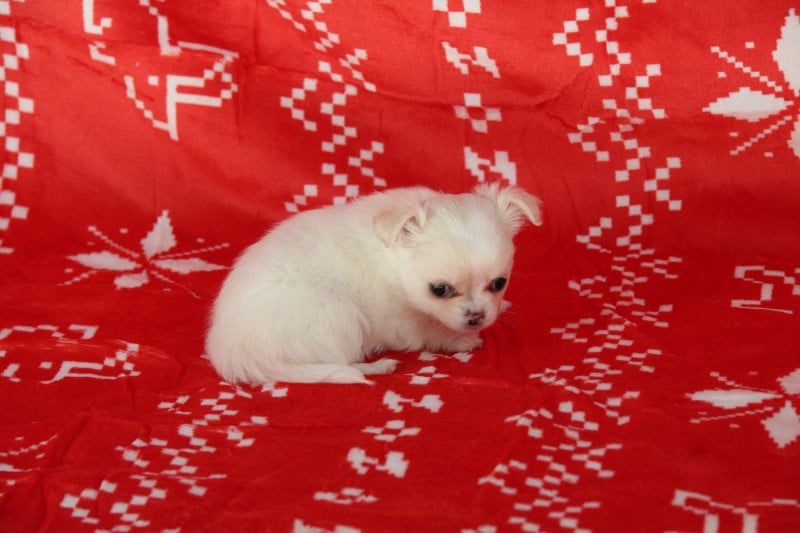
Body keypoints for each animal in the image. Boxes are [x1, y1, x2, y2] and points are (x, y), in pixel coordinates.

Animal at [206, 183, 542, 384]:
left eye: (499, 283)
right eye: (439, 290)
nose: (476, 318)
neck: (393, 258)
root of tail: (230, 351)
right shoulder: (401, 320)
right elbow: (429, 330)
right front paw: (460, 341)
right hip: (339, 315)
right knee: (341, 363)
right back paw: (376, 367)